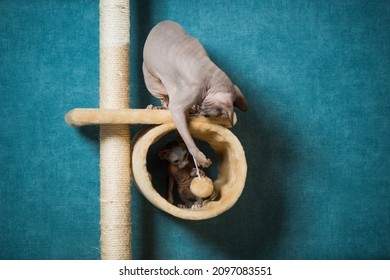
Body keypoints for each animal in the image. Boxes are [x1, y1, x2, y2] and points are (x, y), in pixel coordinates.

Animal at [143, 20, 247, 168]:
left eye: (207, 114)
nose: (200, 111)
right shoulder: (179, 106)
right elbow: (188, 139)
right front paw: (200, 158)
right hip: (154, 82)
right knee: (164, 99)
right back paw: (158, 106)